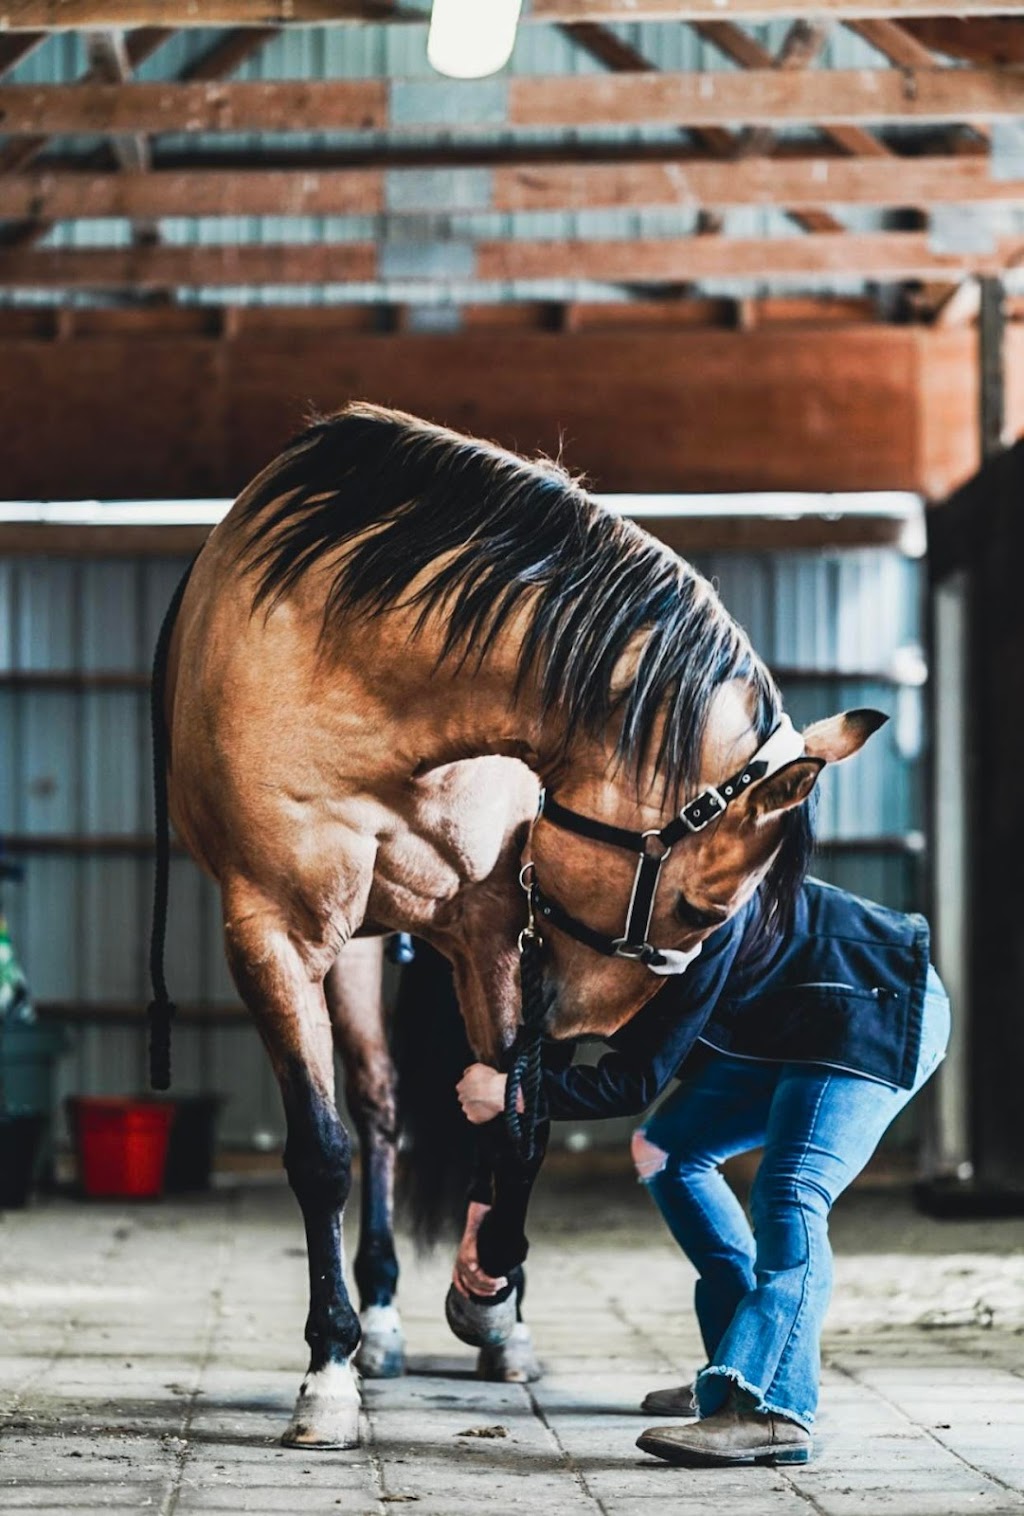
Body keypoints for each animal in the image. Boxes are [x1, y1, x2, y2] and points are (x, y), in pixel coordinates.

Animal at [147, 403, 885, 1443]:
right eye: (702, 908)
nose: (581, 1023)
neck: (362, 677)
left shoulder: (493, 926)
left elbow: (519, 1124)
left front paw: (489, 1297)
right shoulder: (275, 934)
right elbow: (324, 1152)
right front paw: (328, 1371)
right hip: (361, 951)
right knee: (376, 1109)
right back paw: (376, 1325)